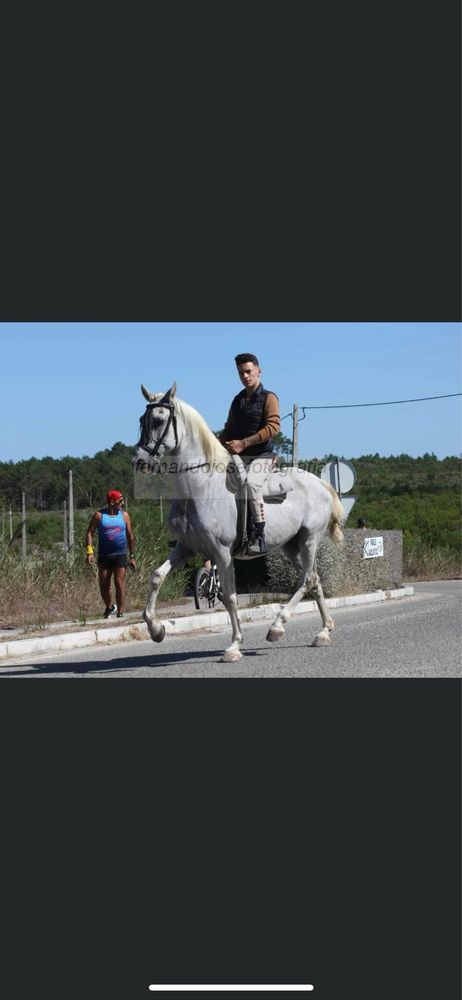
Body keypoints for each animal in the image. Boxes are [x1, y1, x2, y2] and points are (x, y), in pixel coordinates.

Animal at [132, 386, 344, 660]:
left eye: (158, 420)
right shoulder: (185, 547)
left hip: (310, 539)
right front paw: (156, 629)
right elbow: (157, 576)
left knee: (307, 580)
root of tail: (320, 483)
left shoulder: (222, 552)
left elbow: (229, 596)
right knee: (314, 580)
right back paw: (323, 632)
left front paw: (233, 646)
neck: (201, 489)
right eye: (141, 420)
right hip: (291, 546)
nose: (138, 460)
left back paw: (277, 627)